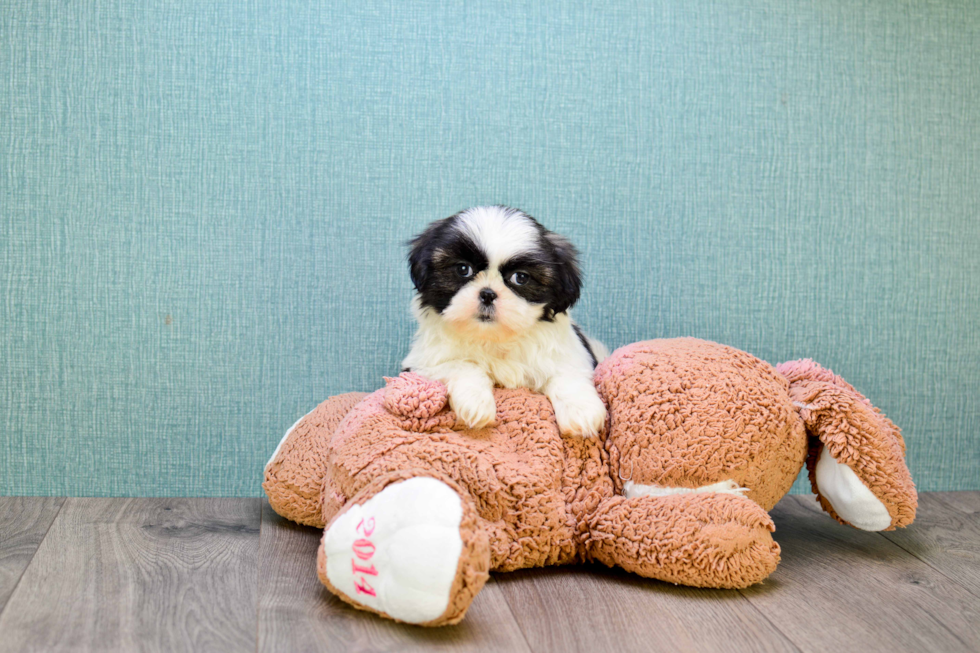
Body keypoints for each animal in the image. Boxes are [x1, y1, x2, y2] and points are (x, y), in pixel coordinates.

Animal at [404, 206, 604, 436]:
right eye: (463, 269)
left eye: (521, 278)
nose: (488, 294)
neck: (495, 339)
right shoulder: (421, 366)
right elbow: (462, 365)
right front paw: (475, 403)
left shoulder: (571, 356)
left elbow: (568, 375)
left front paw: (582, 412)